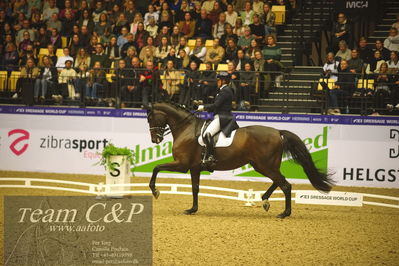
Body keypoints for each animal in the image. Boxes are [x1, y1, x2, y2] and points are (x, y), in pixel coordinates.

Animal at [147, 102, 334, 218]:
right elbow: (195, 188)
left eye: (149, 118)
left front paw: (155, 191)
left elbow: (156, 168)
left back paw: (284, 213)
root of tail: (277, 131)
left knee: (285, 185)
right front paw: (192, 209)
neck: (186, 129)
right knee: (279, 181)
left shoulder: (182, 164)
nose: (155, 140)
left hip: (264, 165)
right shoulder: (194, 167)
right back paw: (265, 200)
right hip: (264, 165)